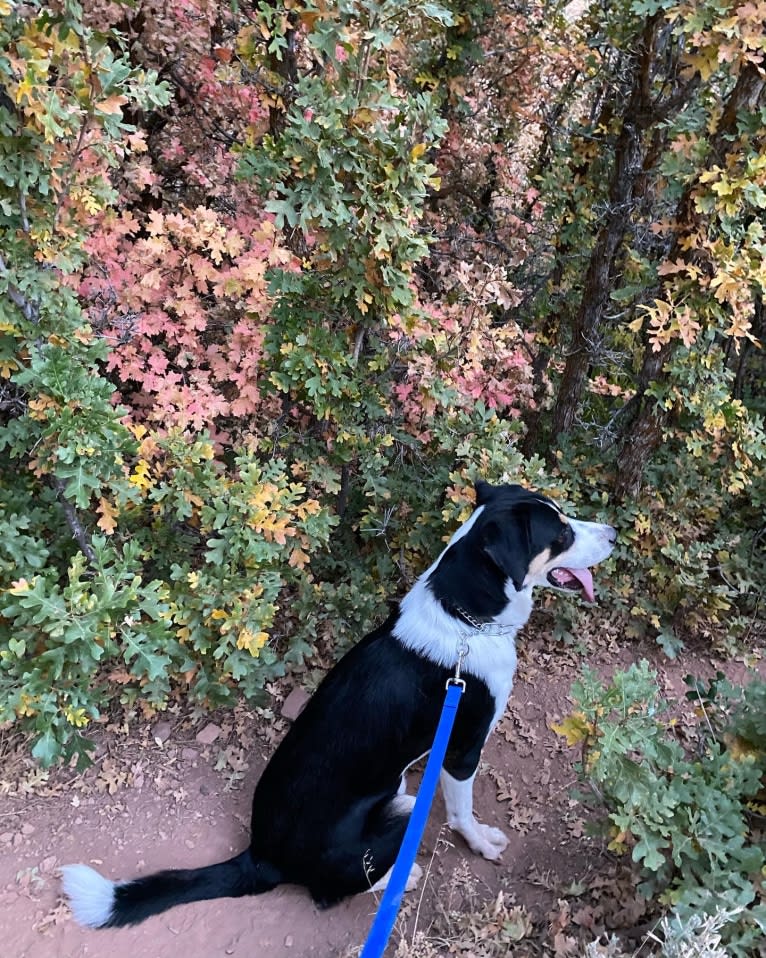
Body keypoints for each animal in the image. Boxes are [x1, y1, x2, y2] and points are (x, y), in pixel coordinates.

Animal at [63, 484, 620, 928]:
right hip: (400, 809)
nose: (614, 533)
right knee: (330, 892)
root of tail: (261, 856)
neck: (465, 618)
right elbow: (463, 811)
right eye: (561, 532)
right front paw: (479, 842)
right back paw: (400, 877)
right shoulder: (463, 746)